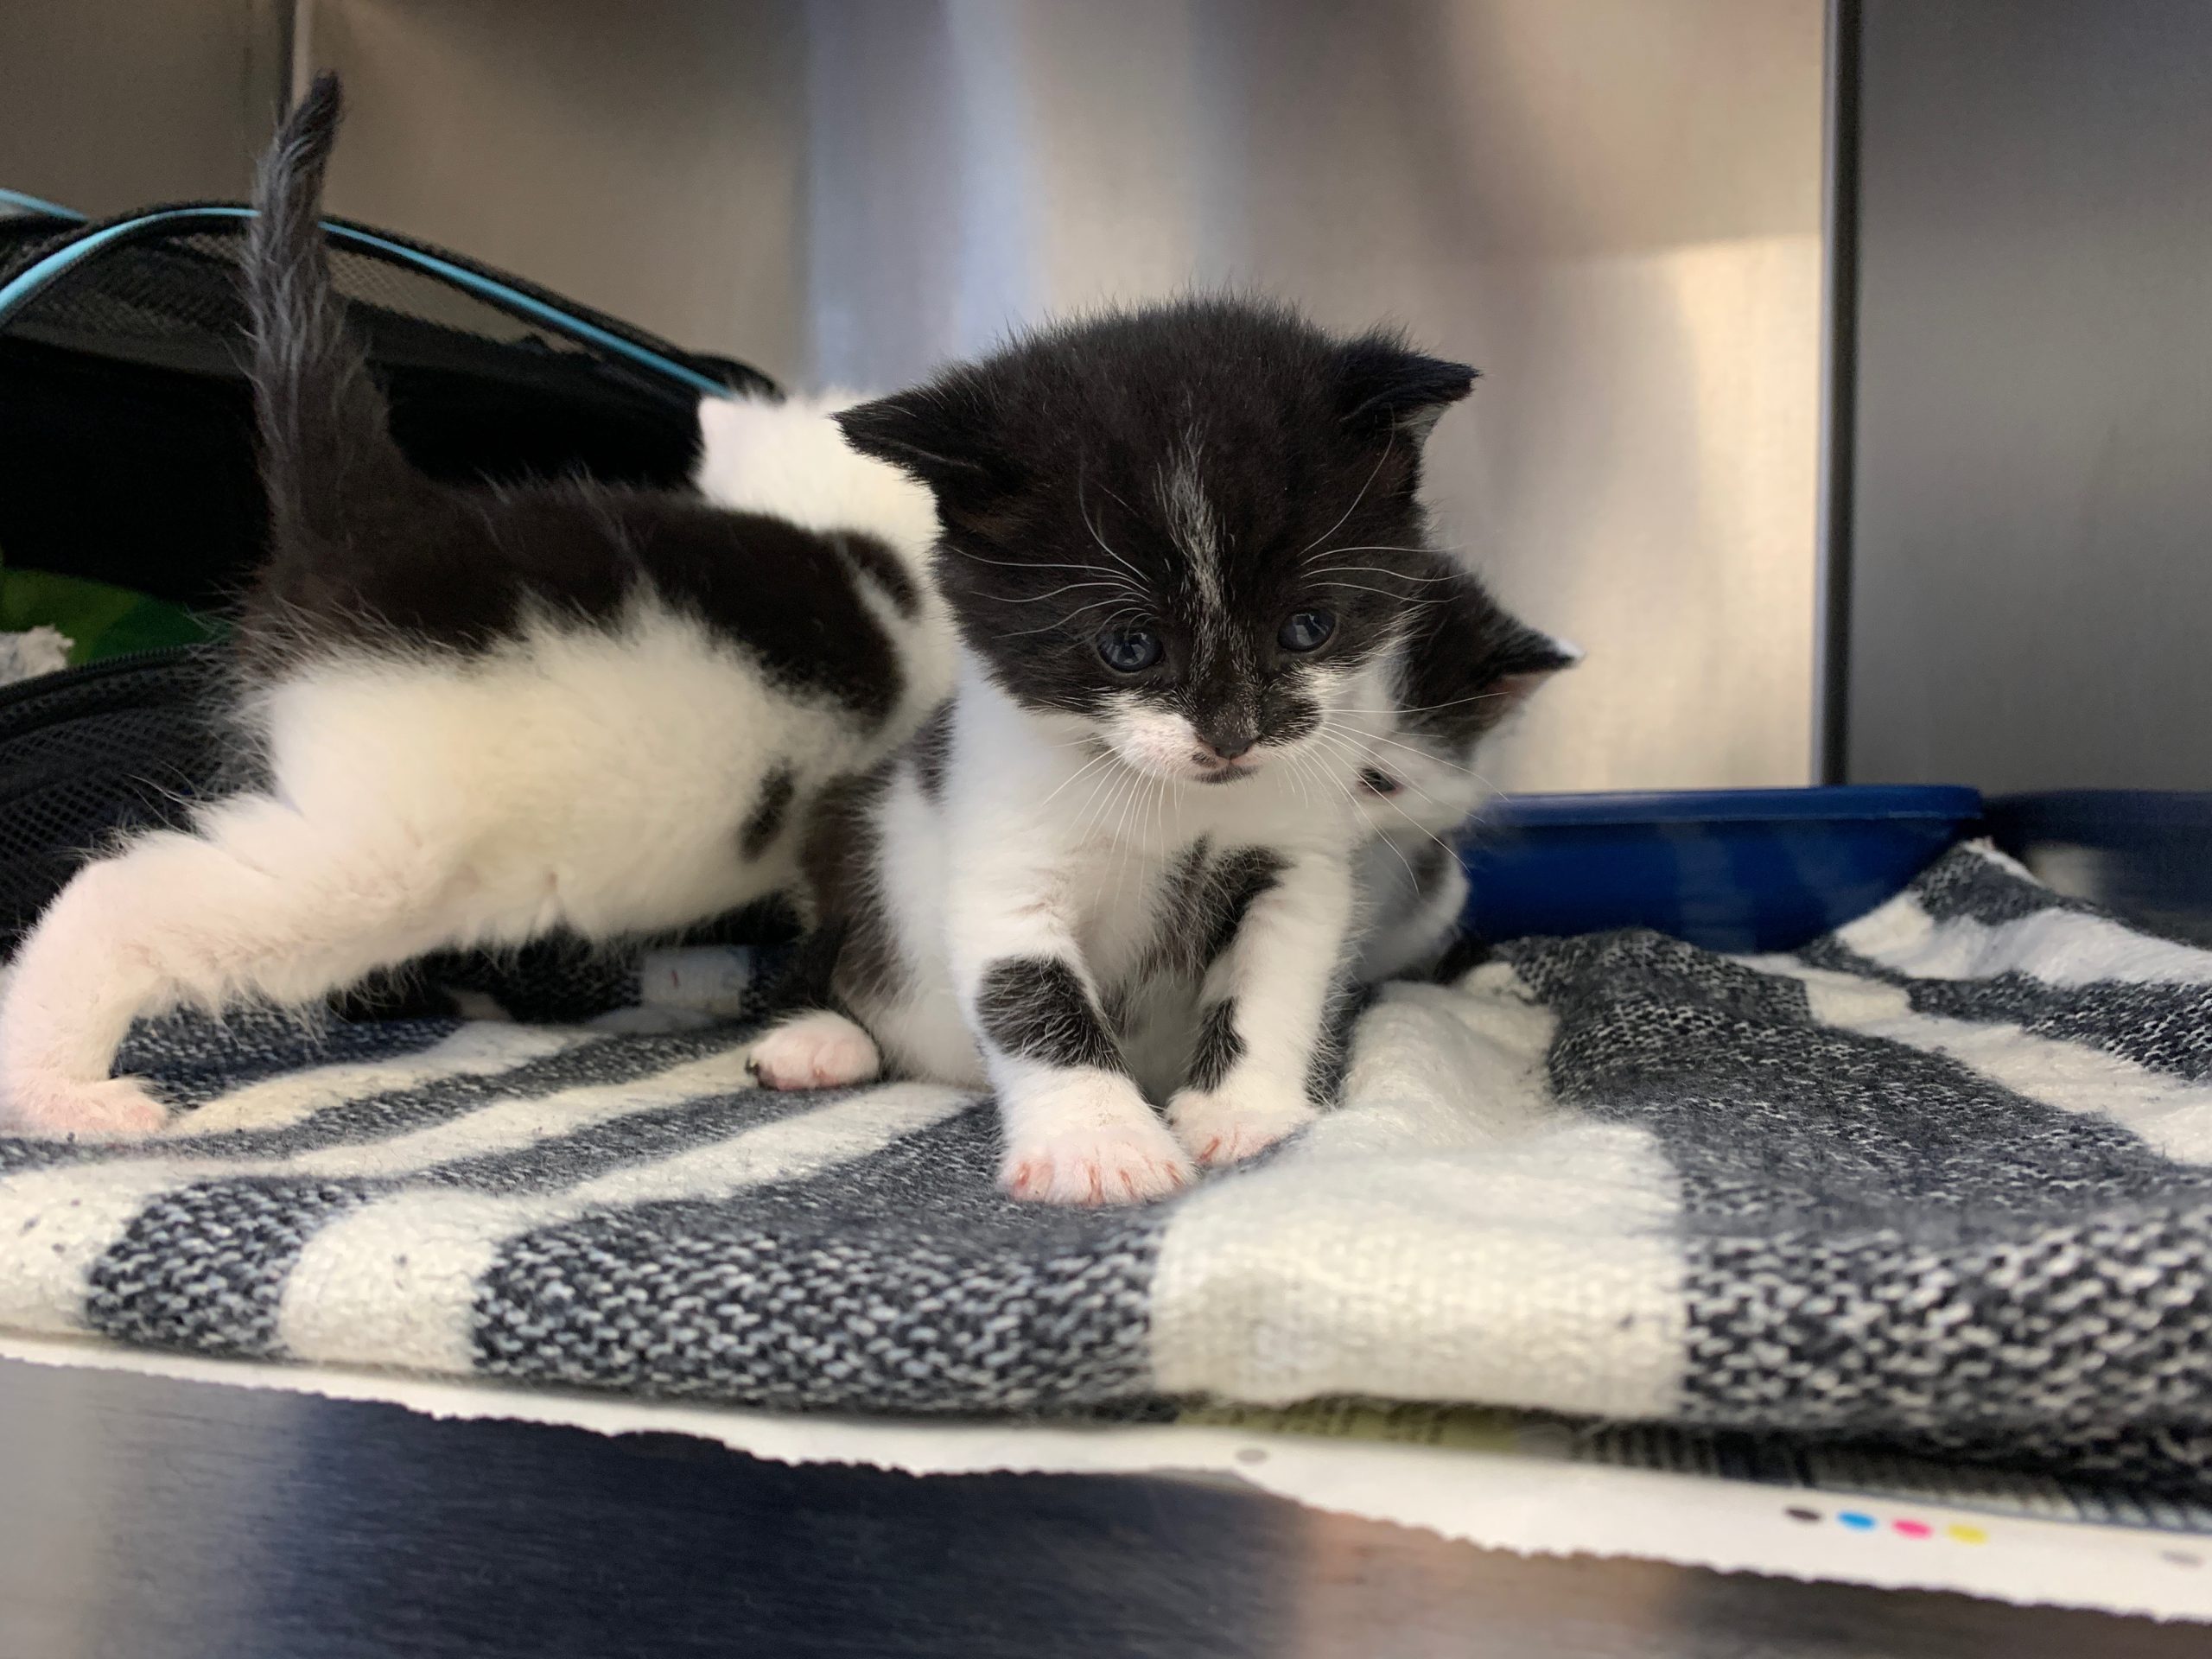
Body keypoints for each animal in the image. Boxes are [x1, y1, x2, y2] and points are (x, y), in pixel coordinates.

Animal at [0, 78, 950, 1141]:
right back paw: (55, 1085)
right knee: (119, 894)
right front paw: (833, 1033)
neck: (843, 524)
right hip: (374, 855)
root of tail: (369, 520)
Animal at [747, 302, 1574, 1211]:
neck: (1173, 798)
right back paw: (816, 1037)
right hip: (855, 836)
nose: (1232, 735)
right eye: (1129, 646)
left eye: (1308, 627)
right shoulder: (1003, 858)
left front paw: (1245, 1113)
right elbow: (1031, 995)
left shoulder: (1296, 862)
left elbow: (1273, 979)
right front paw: (1099, 1145)